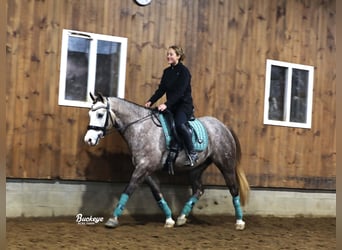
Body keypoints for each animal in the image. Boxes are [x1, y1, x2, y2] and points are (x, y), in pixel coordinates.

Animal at [83, 93, 248, 230]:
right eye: (90, 113)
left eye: (100, 114)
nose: (88, 140)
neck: (141, 127)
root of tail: (224, 126)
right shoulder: (146, 170)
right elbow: (157, 193)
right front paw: (169, 219)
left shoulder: (143, 168)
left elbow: (128, 190)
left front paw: (113, 219)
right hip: (196, 168)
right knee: (199, 190)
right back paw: (181, 217)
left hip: (226, 165)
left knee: (233, 189)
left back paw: (239, 222)